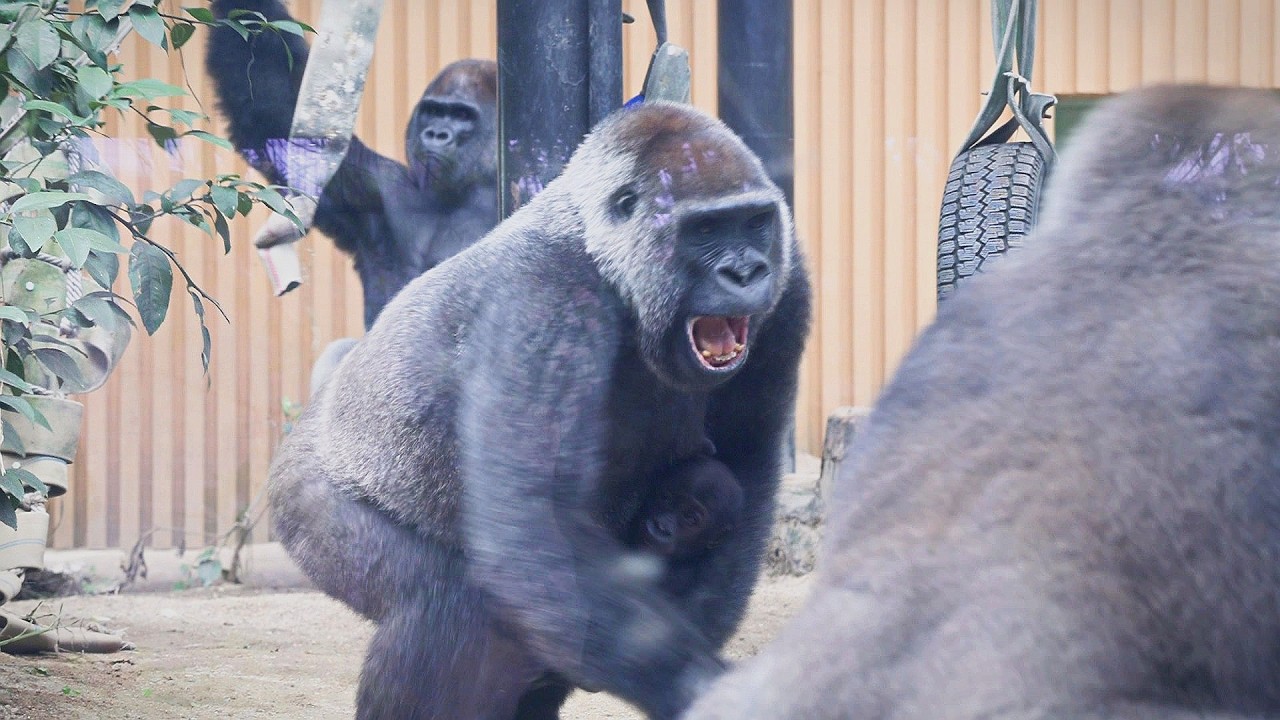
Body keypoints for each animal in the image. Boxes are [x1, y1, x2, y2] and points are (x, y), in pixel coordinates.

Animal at [267, 100, 811, 719]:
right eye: (705, 231)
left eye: (755, 222)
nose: (747, 272)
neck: (606, 255)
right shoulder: (545, 297)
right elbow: (537, 512)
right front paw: (698, 686)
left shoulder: (791, 282)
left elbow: (746, 465)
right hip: (308, 493)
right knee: (448, 604)